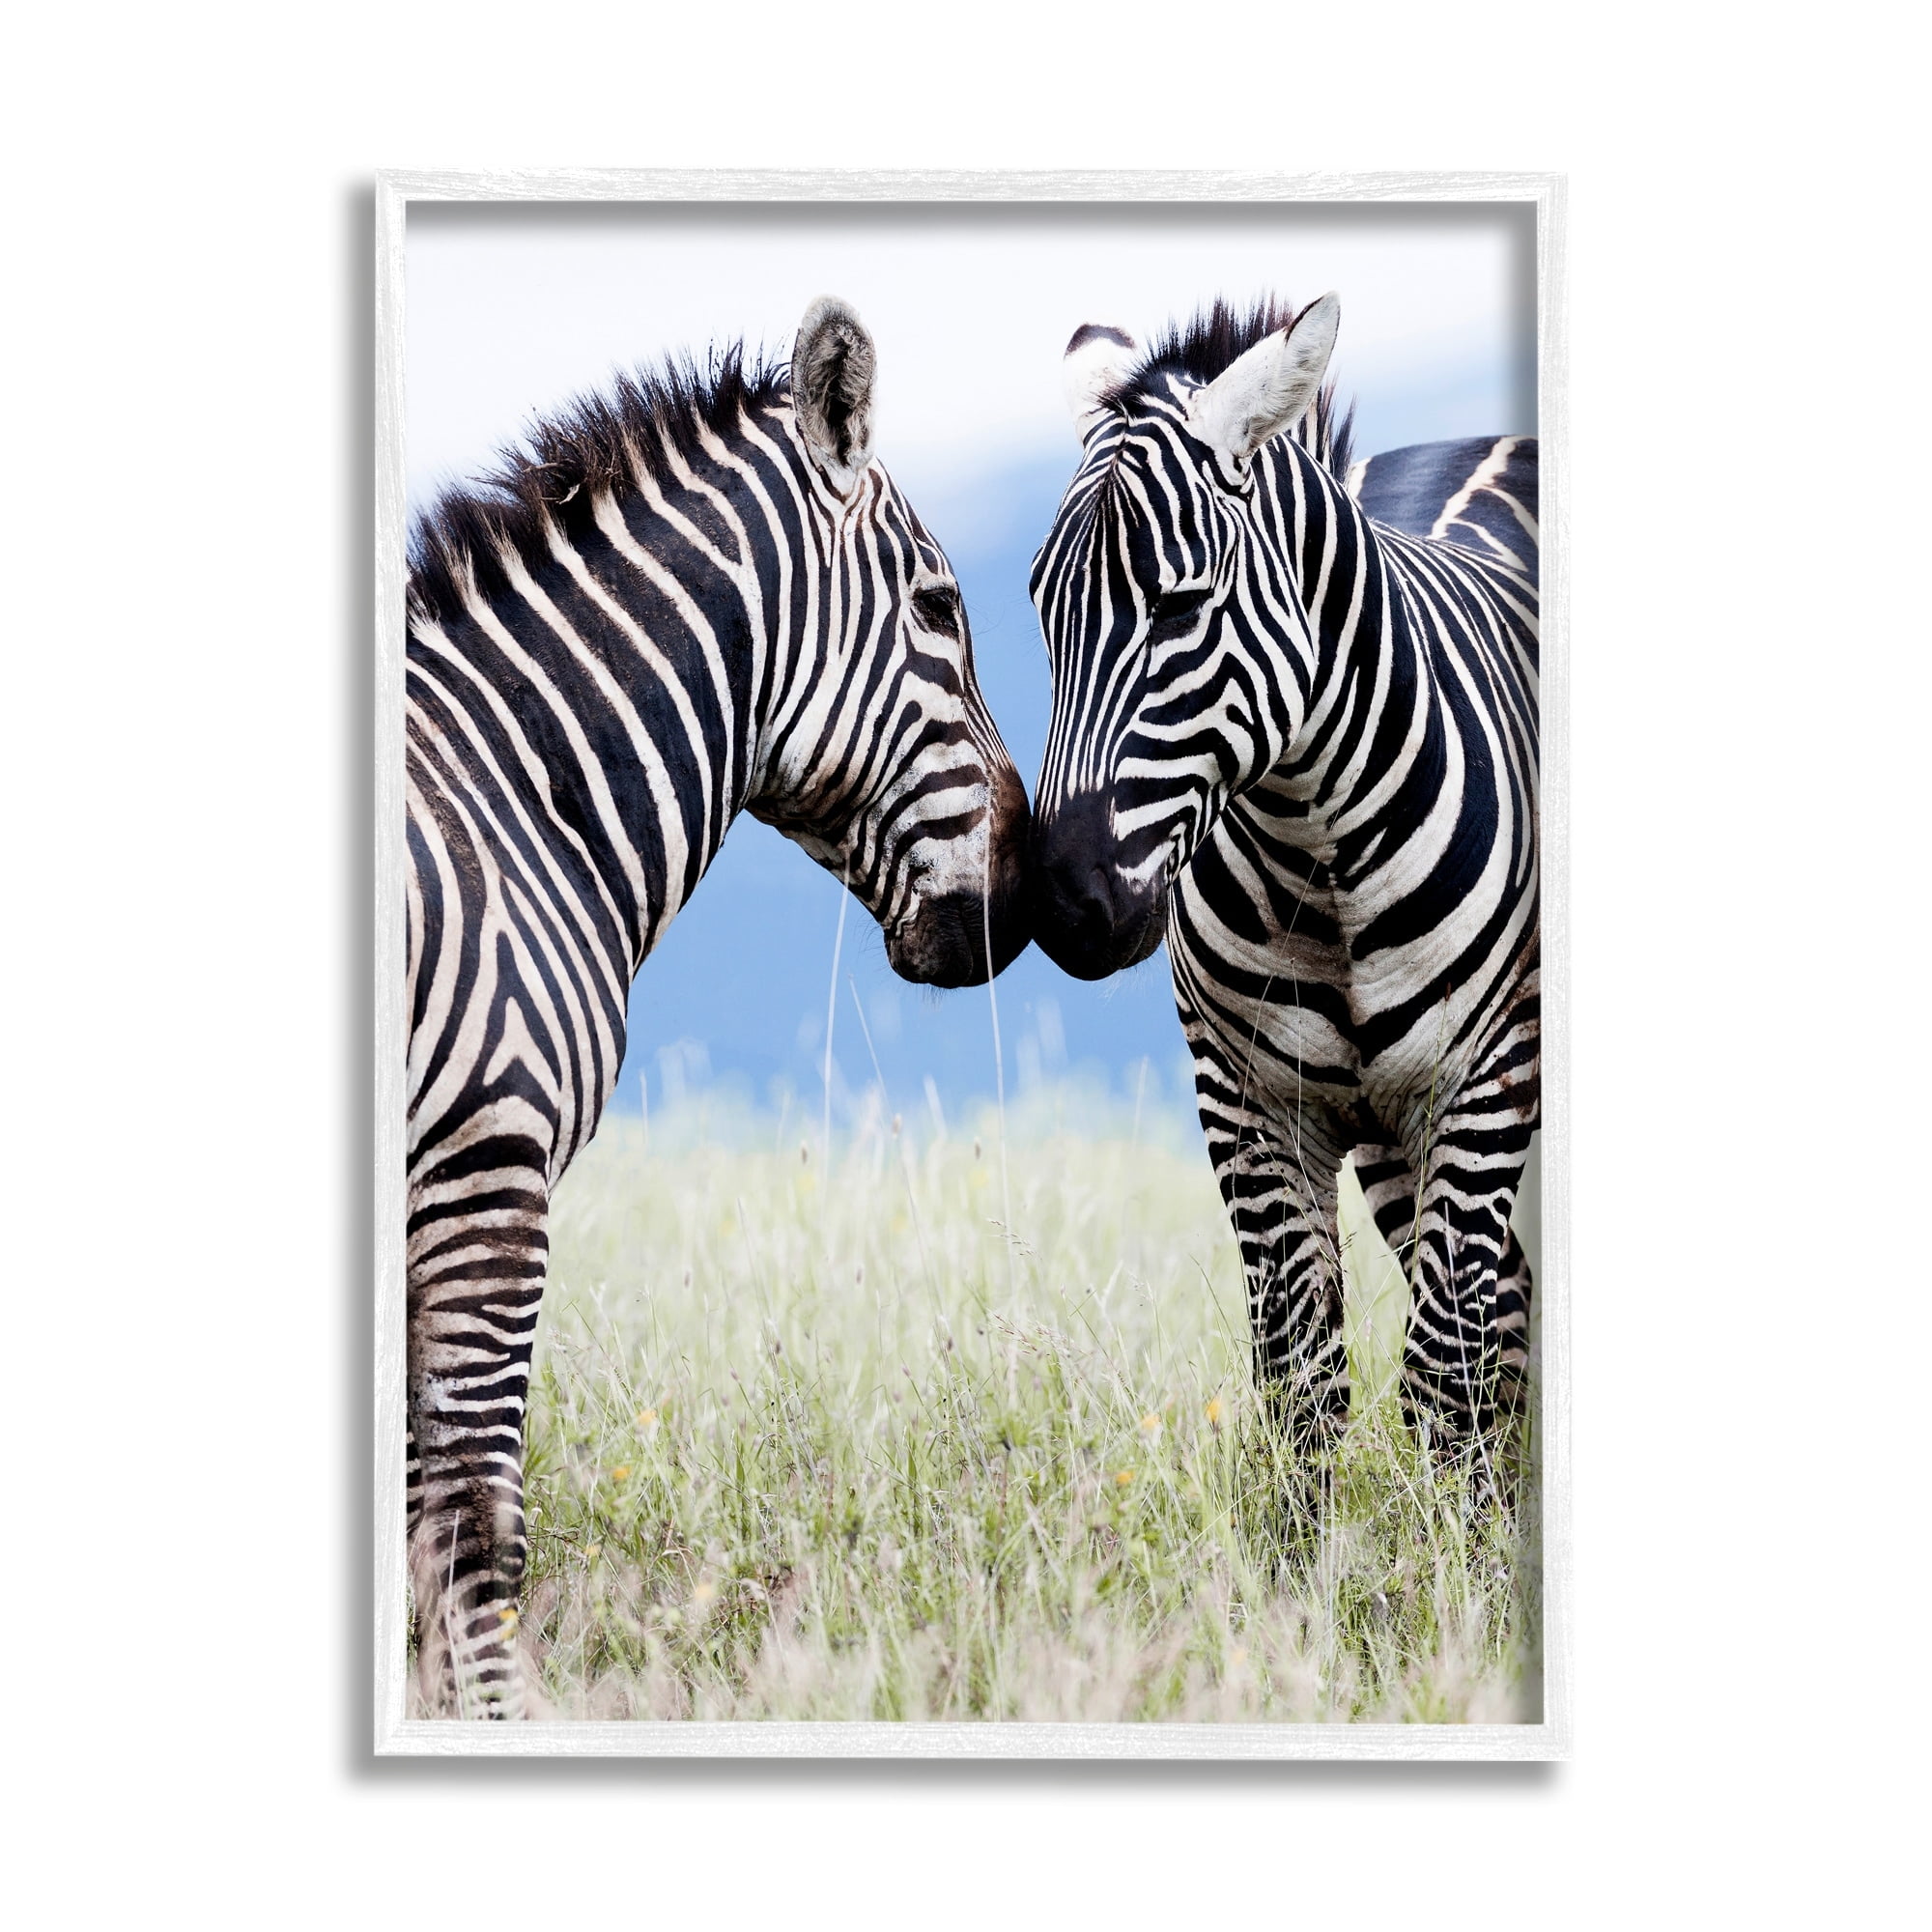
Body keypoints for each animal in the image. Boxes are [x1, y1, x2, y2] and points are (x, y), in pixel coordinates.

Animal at [1028, 294, 1539, 1476]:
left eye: (1178, 609)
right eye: (1041, 614)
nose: (1063, 907)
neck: (1314, 841)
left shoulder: (1484, 1080)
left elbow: (1439, 1380)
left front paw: (1450, 1534)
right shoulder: (1248, 1100)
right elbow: (1301, 1383)